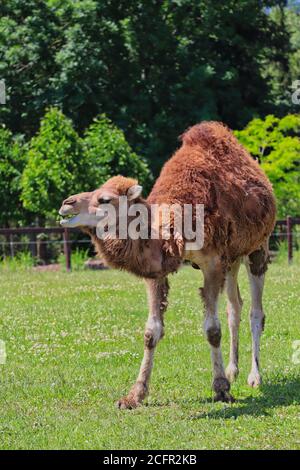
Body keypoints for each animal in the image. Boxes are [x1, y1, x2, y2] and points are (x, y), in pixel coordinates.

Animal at [59, 121, 276, 408]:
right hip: (233, 259)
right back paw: (233, 370)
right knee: (234, 307)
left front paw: (220, 388)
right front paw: (134, 395)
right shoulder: (158, 271)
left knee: (255, 312)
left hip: (258, 248)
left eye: (104, 199)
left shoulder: (212, 262)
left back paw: (254, 377)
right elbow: (151, 332)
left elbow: (212, 329)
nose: (66, 203)